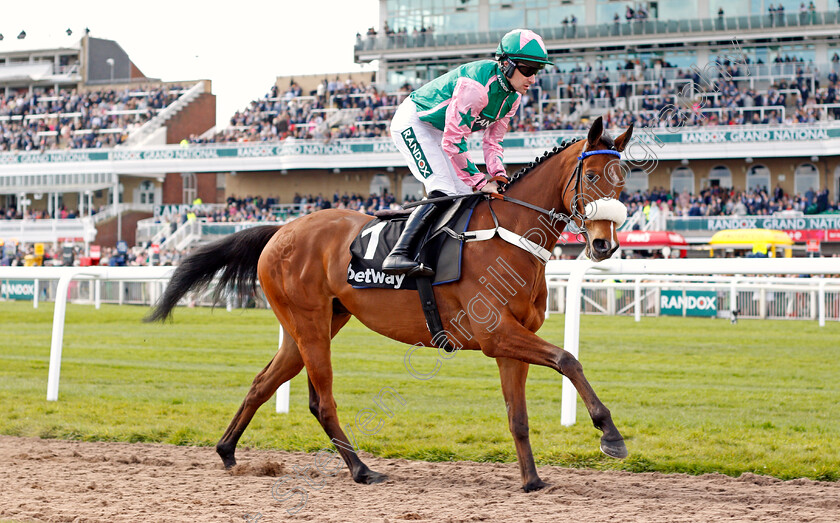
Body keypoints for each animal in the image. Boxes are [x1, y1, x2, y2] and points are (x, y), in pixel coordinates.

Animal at [146, 116, 632, 494]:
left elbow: (519, 416)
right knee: (322, 401)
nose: (604, 244)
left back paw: (227, 450)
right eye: (592, 177)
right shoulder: (496, 334)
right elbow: (568, 359)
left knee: (263, 383)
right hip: (309, 323)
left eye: (624, 179)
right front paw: (610, 434)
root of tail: (280, 230)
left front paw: (532, 480)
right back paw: (362, 470)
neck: (506, 235)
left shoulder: (511, 343)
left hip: (314, 325)